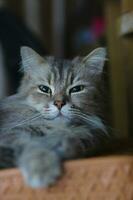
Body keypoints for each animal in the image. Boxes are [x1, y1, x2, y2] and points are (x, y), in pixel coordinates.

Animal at [0, 46, 108, 188]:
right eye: (44, 89)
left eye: (76, 89)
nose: (59, 103)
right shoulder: (12, 135)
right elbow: (35, 146)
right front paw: (41, 167)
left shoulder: (87, 137)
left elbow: (76, 142)